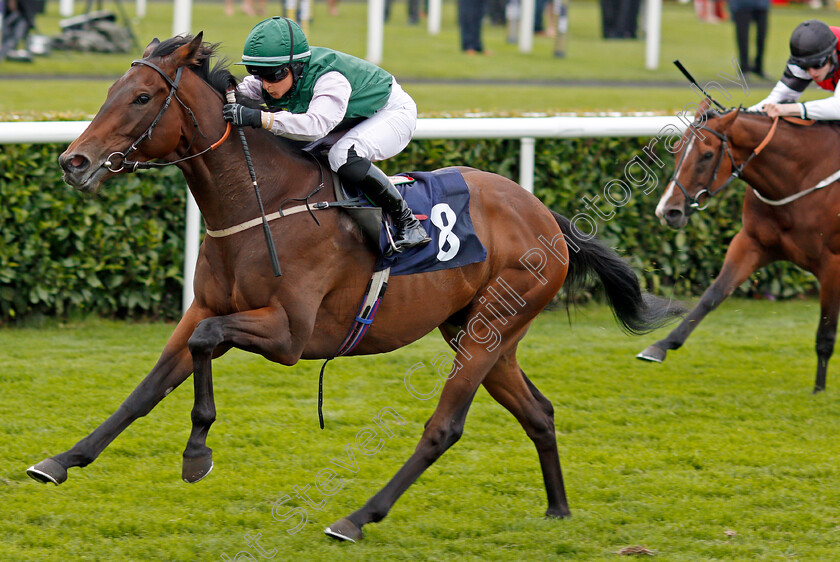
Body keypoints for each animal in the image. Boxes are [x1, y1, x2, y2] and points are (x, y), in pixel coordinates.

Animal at [27, 34, 684, 540]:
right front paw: (60, 461)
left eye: (141, 98)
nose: (73, 162)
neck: (262, 203)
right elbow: (149, 386)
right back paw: (558, 509)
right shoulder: (206, 307)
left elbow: (208, 342)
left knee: (444, 428)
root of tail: (548, 219)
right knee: (539, 413)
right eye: (109, 93)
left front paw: (196, 455)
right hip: (480, 331)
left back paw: (356, 518)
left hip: (487, 330)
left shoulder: (289, 335)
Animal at [640, 101, 840, 394]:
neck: (802, 177)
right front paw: (660, 346)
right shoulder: (750, 243)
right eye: (676, 149)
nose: (668, 212)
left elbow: (826, 331)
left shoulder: (832, 264)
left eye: (707, 154)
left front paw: (818, 390)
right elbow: (712, 295)